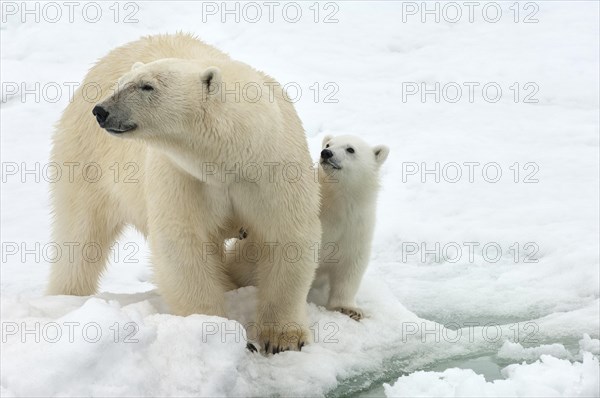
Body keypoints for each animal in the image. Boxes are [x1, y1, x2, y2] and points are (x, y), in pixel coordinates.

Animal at [47, 32, 322, 352]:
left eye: (147, 85)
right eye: (121, 83)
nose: (101, 110)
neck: (234, 156)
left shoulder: (271, 170)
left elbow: (287, 236)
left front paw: (282, 339)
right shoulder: (182, 175)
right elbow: (182, 244)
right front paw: (216, 330)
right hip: (86, 160)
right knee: (79, 233)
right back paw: (67, 297)